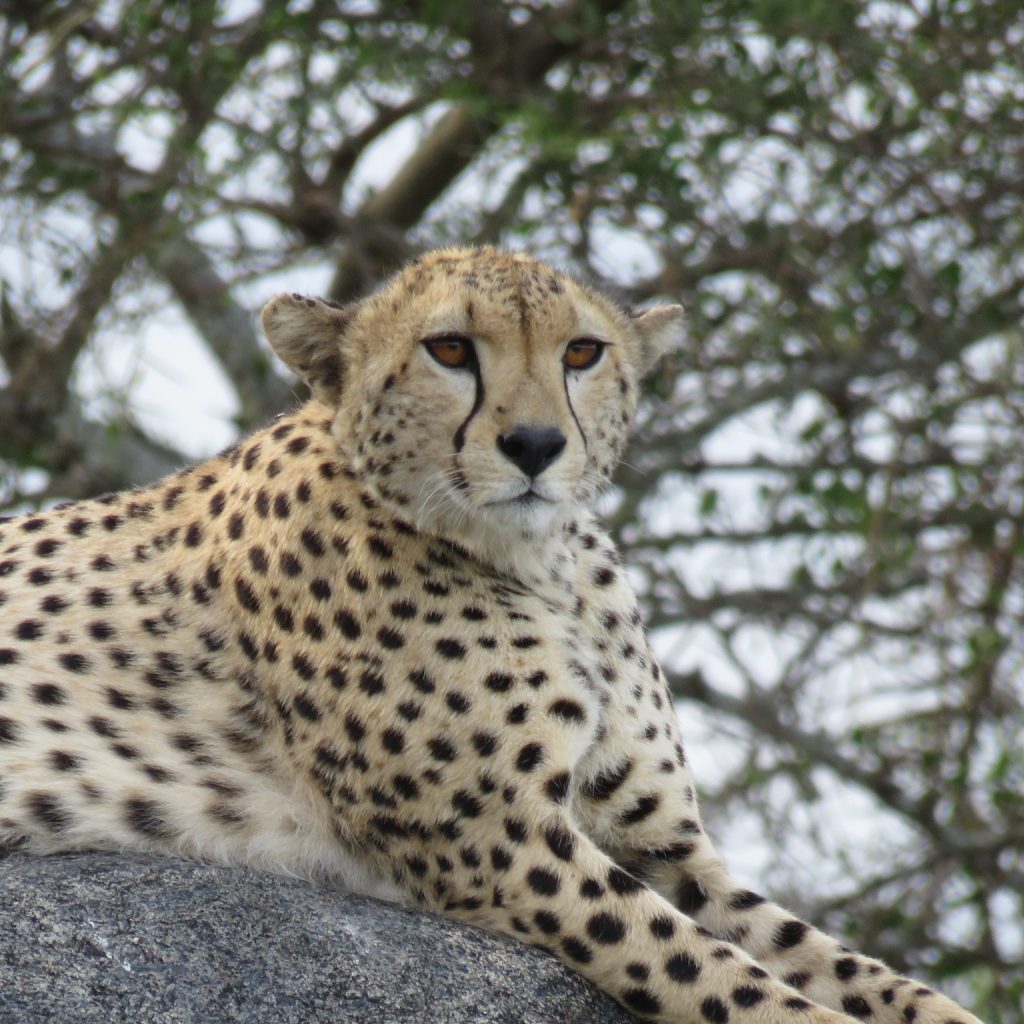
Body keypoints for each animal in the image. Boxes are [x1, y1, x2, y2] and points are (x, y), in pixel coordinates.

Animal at [0, 247, 987, 1024]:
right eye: (449, 350)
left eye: (582, 352)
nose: (537, 445)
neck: (540, 563)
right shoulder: (499, 839)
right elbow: (718, 973)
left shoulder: (660, 841)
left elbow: (826, 958)